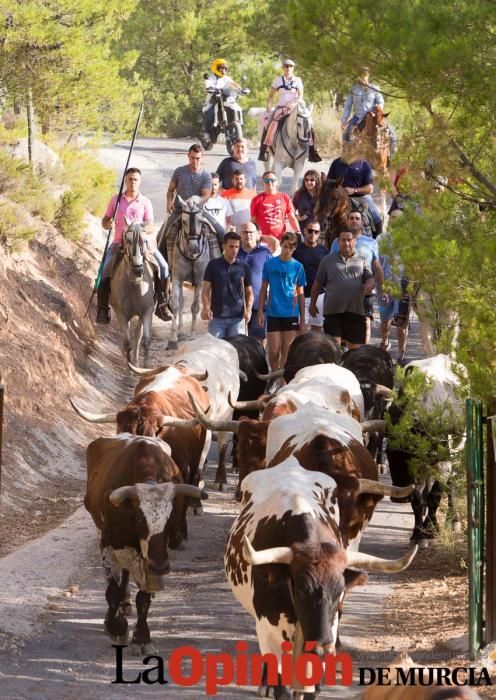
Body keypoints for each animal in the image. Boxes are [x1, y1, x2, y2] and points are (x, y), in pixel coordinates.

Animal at [85, 434, 207, 652]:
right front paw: (116, 627)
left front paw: (142, 637)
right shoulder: (109, 543)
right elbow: (112, 590)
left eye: (170, 518)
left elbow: (143, 598)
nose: (160, 567)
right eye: (140, 519)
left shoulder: (150, 557)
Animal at [227, 460, 416, 700]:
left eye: (340, 592)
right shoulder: (268, 630)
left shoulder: (329, 627)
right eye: (299, 588)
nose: (323, 647)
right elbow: (281, 683)